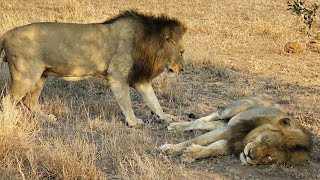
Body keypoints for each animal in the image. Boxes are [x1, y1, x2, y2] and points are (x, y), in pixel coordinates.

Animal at [0, 10, 186, 127]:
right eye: (182, 52)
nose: (182, 69)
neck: (147, 43)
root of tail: (5, 34)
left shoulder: (139, 79)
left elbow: (154, 101)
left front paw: (165, 117)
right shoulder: (118, 76)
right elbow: (126, 102)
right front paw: (133, 122)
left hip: (40, 76)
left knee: (29, 102)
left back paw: (47, 118)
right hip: (26, 76)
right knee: (8, 101)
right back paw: (11, 123)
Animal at [161, 96, 312, 165]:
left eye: (269, 157)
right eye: (264, 140)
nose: (249, 155)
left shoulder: (232, 142)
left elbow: (211, 149)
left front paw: (191, 153)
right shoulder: (230, 132)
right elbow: (198, 139)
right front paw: (170, 149)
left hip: (226, 122)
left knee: (206, 124)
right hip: (232, 110)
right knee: (207, 118)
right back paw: (175, 126)